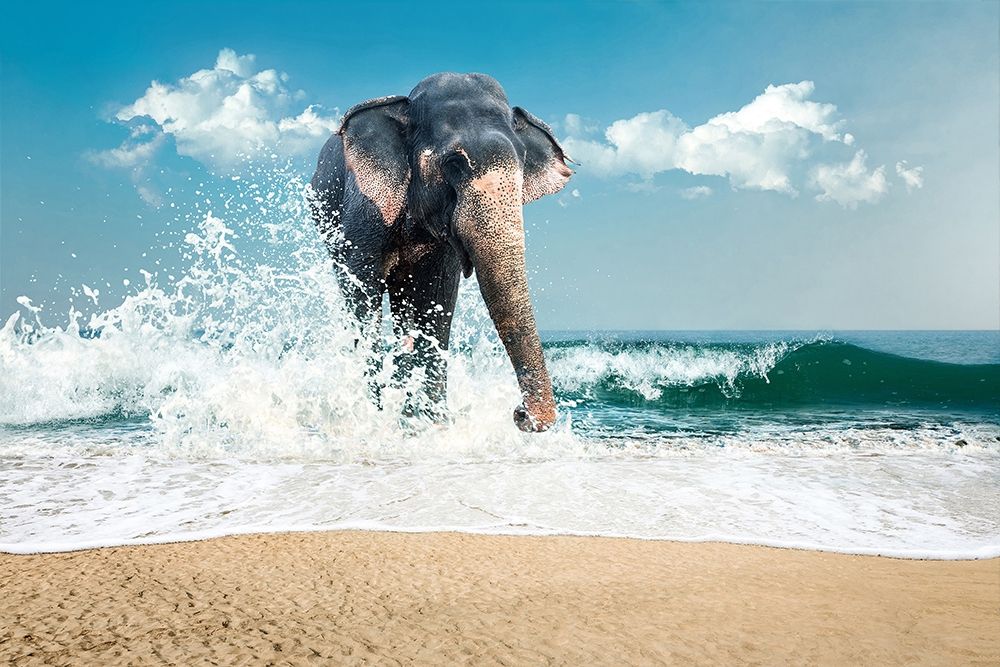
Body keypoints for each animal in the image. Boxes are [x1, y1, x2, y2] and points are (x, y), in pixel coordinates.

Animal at [309, 72, 573, 432]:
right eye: (454, 163)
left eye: (522, 163)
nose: (520, 413)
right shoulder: (363, 206)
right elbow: (363, 292)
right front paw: (372, 416)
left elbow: (436, 299)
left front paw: (428, 423)